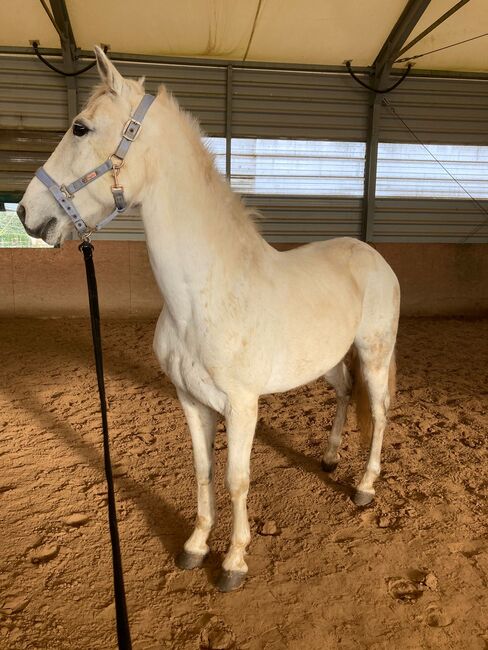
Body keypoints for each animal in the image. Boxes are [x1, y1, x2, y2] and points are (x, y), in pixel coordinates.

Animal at [20, 48, 400, 588]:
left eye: (80, 127)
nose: (26, 212)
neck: (203, 298)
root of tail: (373, 257)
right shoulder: (191, 401)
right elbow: (202, 471)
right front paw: (196, 546)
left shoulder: (241, 407)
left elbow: (237, 479)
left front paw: (234, 562)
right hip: (329, 361)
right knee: (347, 394)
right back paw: (328, 459)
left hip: (373, 354)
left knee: (380, 410)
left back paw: (365, 486)